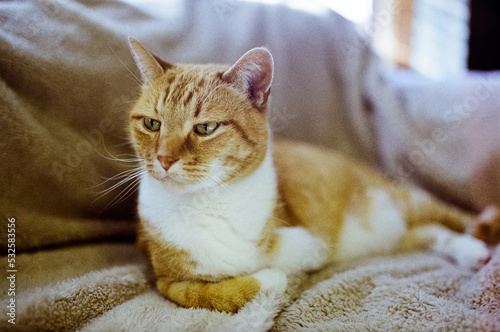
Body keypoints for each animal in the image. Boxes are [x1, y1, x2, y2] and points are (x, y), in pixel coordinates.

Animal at [128, 37, 492, 312]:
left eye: (205, 128)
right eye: (152, 123)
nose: (163, 158)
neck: (205, 204)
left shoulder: (311, 243)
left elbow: (273, 269)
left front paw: (273, 276)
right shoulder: (167, 282)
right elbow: (208, 293)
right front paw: (267, 279)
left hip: (407, 202)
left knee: (458, 218)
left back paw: (479, 244)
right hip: (391, 232)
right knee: (428, 231)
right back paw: (472, 252)